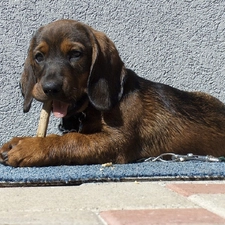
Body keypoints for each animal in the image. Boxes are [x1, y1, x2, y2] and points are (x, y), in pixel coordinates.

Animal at [0, 19, 225, 167]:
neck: (89, 109)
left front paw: (32, 146)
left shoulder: (117, 141)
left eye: (75, 54)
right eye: (38, 57)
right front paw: (18, 141)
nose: (50, 88)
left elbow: (71, 139)